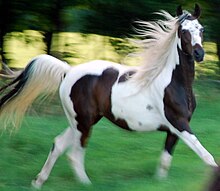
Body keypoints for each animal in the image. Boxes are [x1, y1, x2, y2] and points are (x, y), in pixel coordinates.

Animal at [0, 3, 217, 189]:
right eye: (183, 31)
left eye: (201, 29)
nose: (199, 54)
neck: (173, 83)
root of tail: (68, 71)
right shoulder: (179, 124)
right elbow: (208, 157)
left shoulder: (173, 130)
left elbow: (165, 163)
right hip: (84, 123)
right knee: (75, 155)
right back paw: (86, 184)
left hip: (81, 121)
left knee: (59, 145)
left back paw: (38, 182)